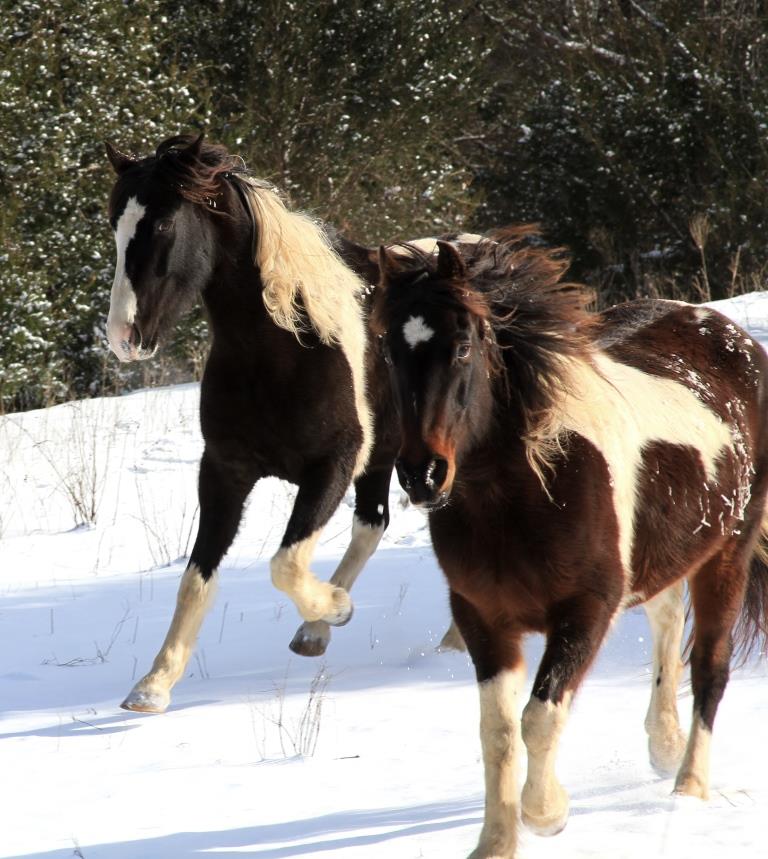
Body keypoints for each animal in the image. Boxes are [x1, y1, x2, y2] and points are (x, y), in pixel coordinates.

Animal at [372, 228, 768, 859]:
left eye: (462, 345)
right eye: (388, 349)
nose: (422, 475)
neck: (522, 496)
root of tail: (732, 336)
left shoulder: (586, 610)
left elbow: (539, 717)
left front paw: (549, 814)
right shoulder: (483, 618)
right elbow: (498, 732)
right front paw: (495, 844)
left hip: (728, 554)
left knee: (711, 665)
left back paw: (688, 786)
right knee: (665, 618)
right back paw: (663, 746)